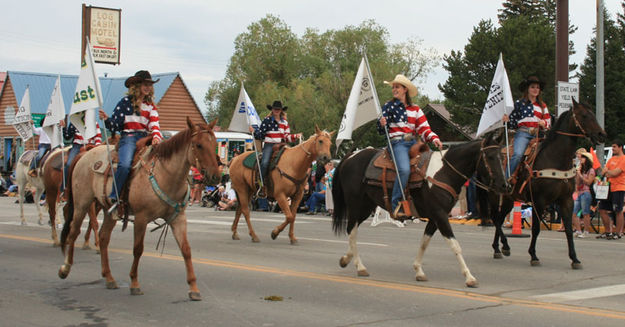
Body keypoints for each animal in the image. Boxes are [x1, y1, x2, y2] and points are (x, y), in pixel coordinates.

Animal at [58, 118, 219, 302]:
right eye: (199, 145)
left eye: (214, 143)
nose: (216, 176)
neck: (166, 175)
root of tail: (84, 155)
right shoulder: (142, 218)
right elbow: (138, 249)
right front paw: (134, 283)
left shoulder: (178, 218)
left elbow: (186, 250)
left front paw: (193, 288)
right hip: (82, 203)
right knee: (73, 232)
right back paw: (65, 268)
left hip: (109, 211)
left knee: (104, 238)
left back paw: (109, 278)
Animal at [332, 133, 508, 288]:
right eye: (490, 157)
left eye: (503, 156)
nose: (504, 185)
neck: (444, 172)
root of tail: (350, 156)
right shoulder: (440, 215)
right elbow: (455, 245)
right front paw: (469, 277)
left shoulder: (435, 217)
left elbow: (424, 242)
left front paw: (419, 271)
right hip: (356, 204)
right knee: (352, 231)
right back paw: (360, 267)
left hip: (366, 207)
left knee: (352, 229)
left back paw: (345, 259)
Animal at [478, 100, 604, 270]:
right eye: (584, 115)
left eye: (593, 114)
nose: (601, 134)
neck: (556, 158)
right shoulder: (539, 200)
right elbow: (536, 229)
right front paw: (533, 255)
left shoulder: (566, 200)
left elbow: (569, 229)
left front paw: (575, 259)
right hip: (494, 194)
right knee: (495, 218)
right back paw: (504, 246)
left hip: (508, 199)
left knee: (499, 217)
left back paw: (498, 248)